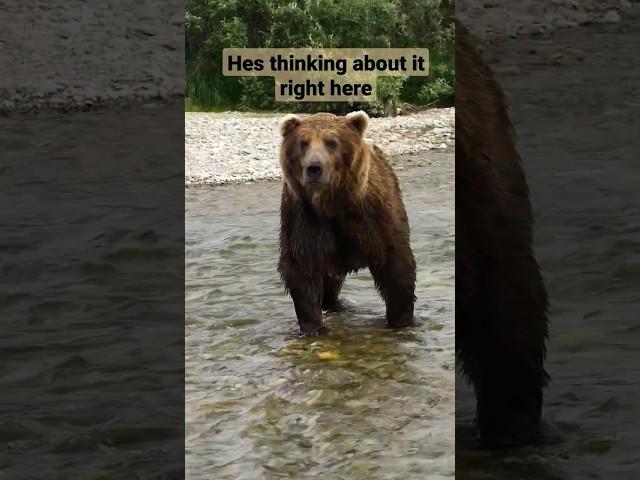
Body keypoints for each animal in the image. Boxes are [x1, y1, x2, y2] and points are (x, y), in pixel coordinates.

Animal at [278, 110, 418, 336]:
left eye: (331, 142)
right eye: (303, 142)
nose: (314, 168)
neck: (332, 203)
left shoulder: (373, 216)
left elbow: (395, 262)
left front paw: (400, 320)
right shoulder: (304, 217)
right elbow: (301, 267)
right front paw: (313, 327)